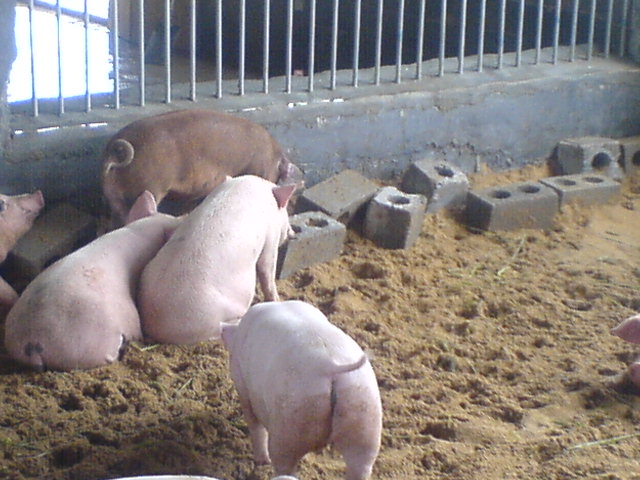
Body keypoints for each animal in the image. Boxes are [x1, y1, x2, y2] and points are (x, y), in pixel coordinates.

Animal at [102, 108, 304, 229]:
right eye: (294, 197)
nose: (293, 212)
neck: (275, 160)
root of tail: (114, 151)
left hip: (114, 197)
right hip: (148, 187)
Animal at [138, 175, 295, 345]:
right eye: (286, 211)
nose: (293, 233)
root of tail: (157, 326)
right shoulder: (270, 237)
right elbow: (267, 269)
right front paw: (277, 300)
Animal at [221, 300, 382, 480]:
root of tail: (330, 367)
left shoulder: (243, 385)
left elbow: (255, 425)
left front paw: (261, 461)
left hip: (291, 419)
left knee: (284, 462)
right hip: (364, 410)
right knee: (361, 464)